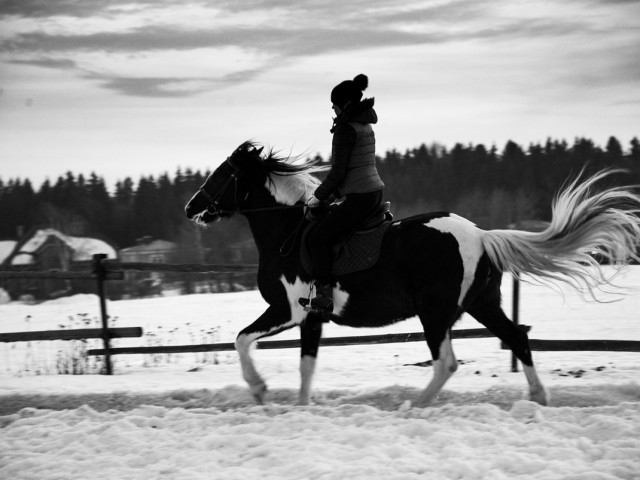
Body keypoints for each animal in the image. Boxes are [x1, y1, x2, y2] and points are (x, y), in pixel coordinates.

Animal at [184, 141, 640, 406]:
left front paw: (259, 389)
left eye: (223, 173)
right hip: (480, 304)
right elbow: (305, 367)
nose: (191, 208)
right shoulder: (312, 317)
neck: (288, 235)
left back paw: (416, 406)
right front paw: (299, 406)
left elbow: (242, 340)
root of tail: (481, 234)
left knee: (446, 363)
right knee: (517, 337)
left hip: (435, 313)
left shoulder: (289, 310)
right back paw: (538, 397)